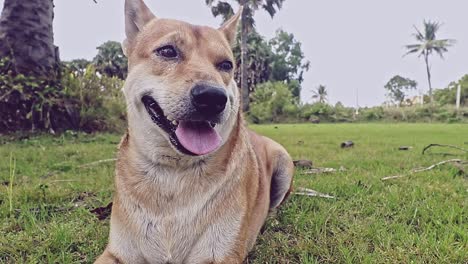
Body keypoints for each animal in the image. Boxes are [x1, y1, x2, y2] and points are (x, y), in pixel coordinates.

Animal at [95, 1, 292, 262]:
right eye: (168, 51)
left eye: (226, 65)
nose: (212, 98)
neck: (174, 172)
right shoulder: (117, 253)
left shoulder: (220, 255)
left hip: (284, 162)